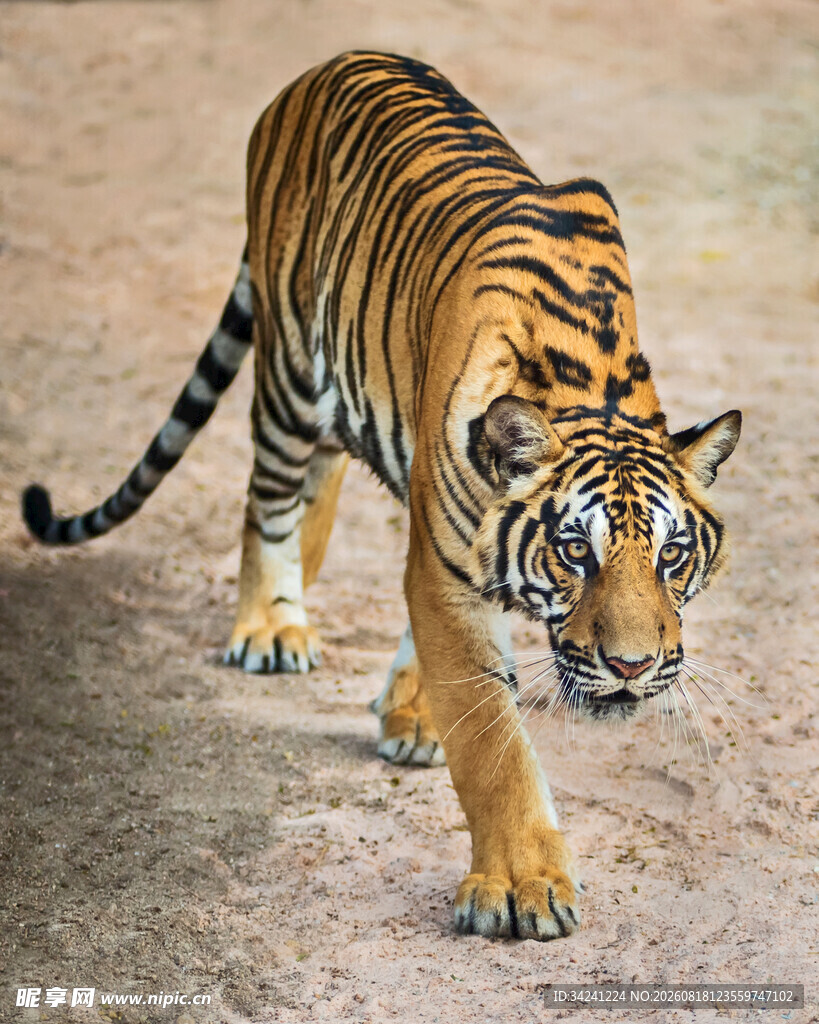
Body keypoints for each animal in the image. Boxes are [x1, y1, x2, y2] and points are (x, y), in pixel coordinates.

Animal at [22, 51, 741, 941]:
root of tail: (320, 68)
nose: (632, 667)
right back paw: (270, 626)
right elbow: (493, 744)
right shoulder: (445, 563)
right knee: (266, 501)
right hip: (290, 373)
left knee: (318, 487)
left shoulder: (442, 545)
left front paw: (417, 716)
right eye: (576, 551)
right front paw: (521, 889)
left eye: (671, 555)